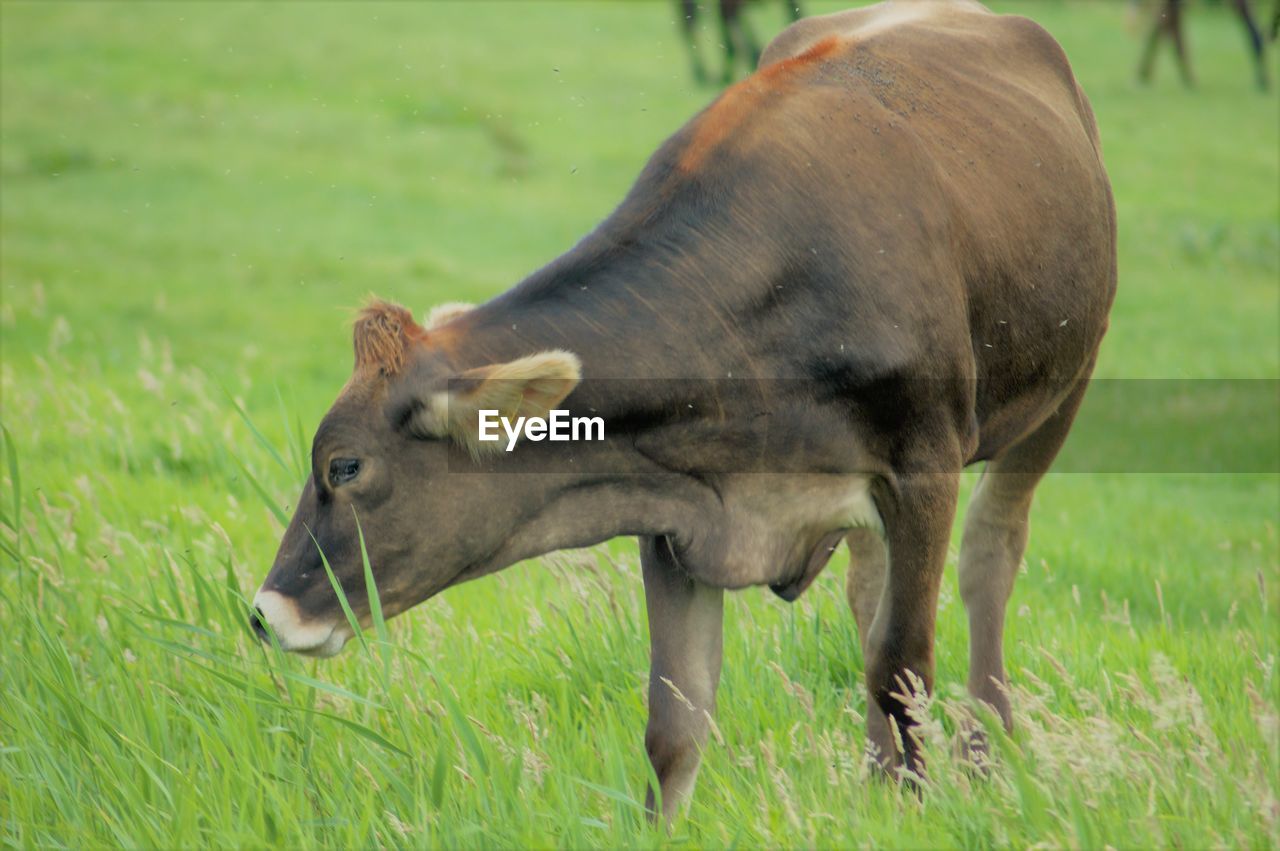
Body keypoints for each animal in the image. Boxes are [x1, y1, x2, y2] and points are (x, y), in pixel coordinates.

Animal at [254, 0, 1116, 824]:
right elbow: (677, 719)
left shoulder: (922, 468)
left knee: (988, 557)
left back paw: (985, 754)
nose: (264, 614)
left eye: (345, 465)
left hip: (1063, 387)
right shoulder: (677, 507)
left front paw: (916, 805)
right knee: (868, 588)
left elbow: (900, 665)